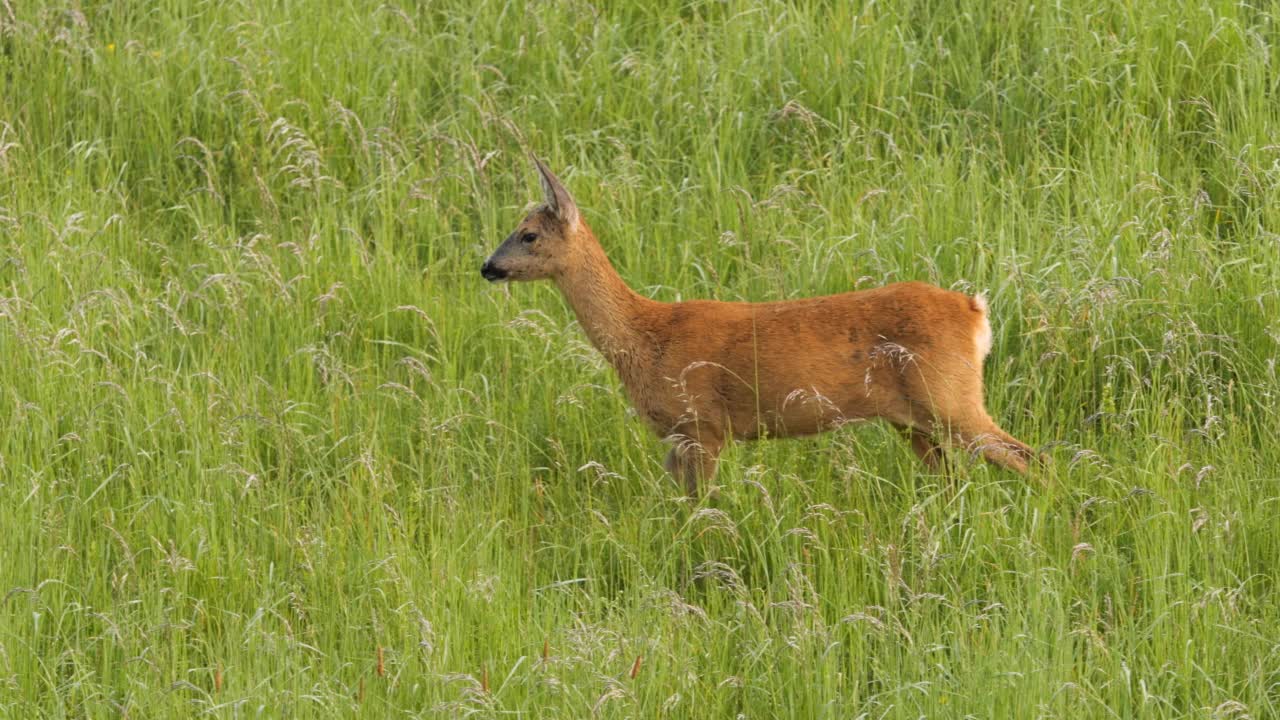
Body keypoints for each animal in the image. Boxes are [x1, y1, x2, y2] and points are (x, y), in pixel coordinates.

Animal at [481, 156, 1039, 491]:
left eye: (528, 234)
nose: (487, 266)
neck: (644, 337)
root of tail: (974, 310)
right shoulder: (676, 439)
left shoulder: (702, 425)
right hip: (913, 418)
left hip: (950, 396)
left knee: (1030, 457)